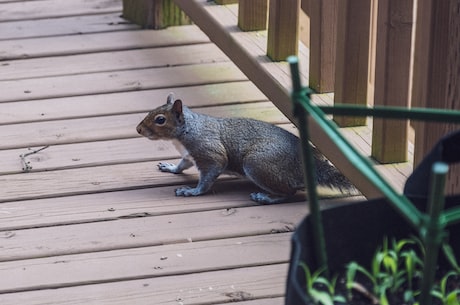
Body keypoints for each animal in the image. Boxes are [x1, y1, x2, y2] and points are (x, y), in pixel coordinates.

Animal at [137, 91, 356, 203]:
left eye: (160, 120)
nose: (138, 129)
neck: (187, 131)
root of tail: (305, 165)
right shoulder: (189, 155)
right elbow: (182, 165)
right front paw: (171, 167)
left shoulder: (209, 152)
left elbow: (208, 176)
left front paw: (192, 191)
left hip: (257, 164)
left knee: (289, 192)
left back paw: (265, 197)